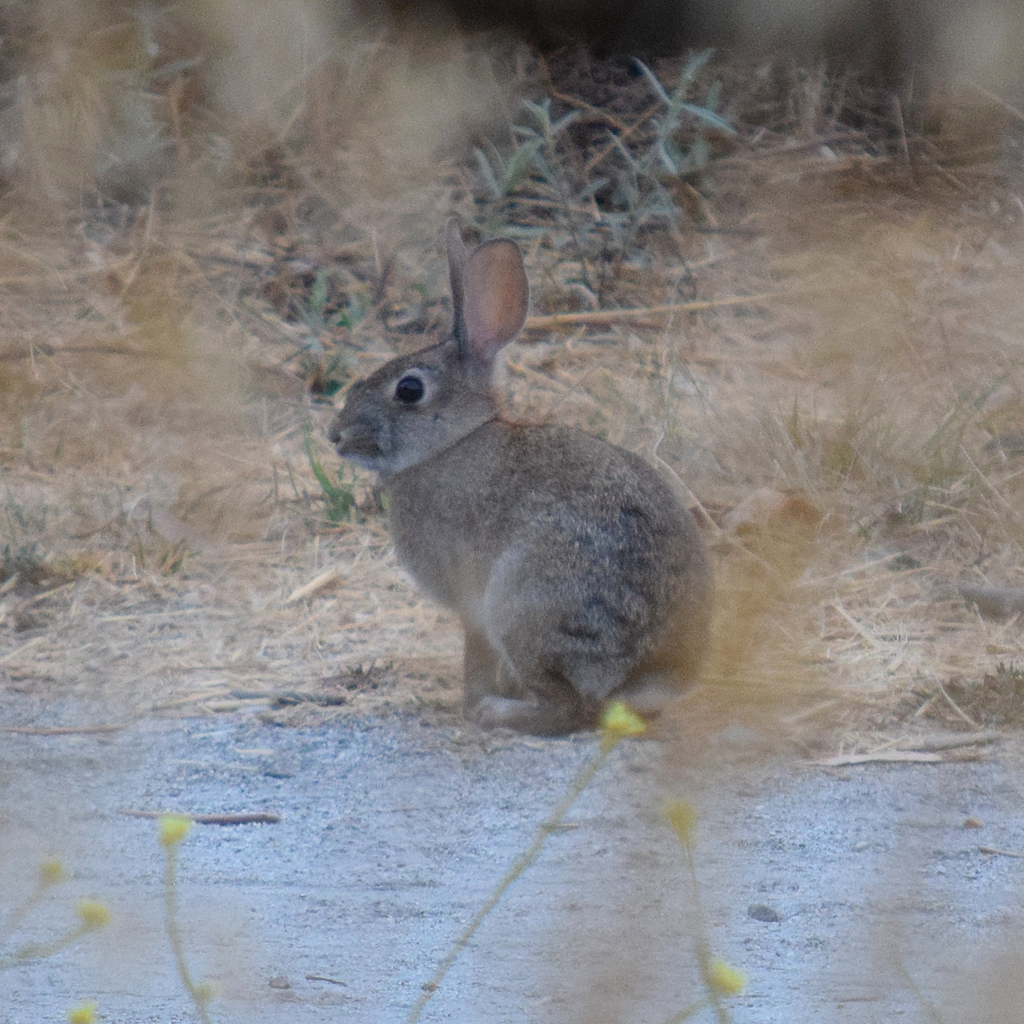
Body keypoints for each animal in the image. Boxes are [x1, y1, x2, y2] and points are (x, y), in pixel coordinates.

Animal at [328, 220, 711, 735]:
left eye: (408, 390)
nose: (336, 434)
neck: (452, 442)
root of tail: (651, 675)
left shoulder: (471, 604)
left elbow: (474, 655)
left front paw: (470, 701)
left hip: (524, 607)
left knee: (569, 709)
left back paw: (498, 712)